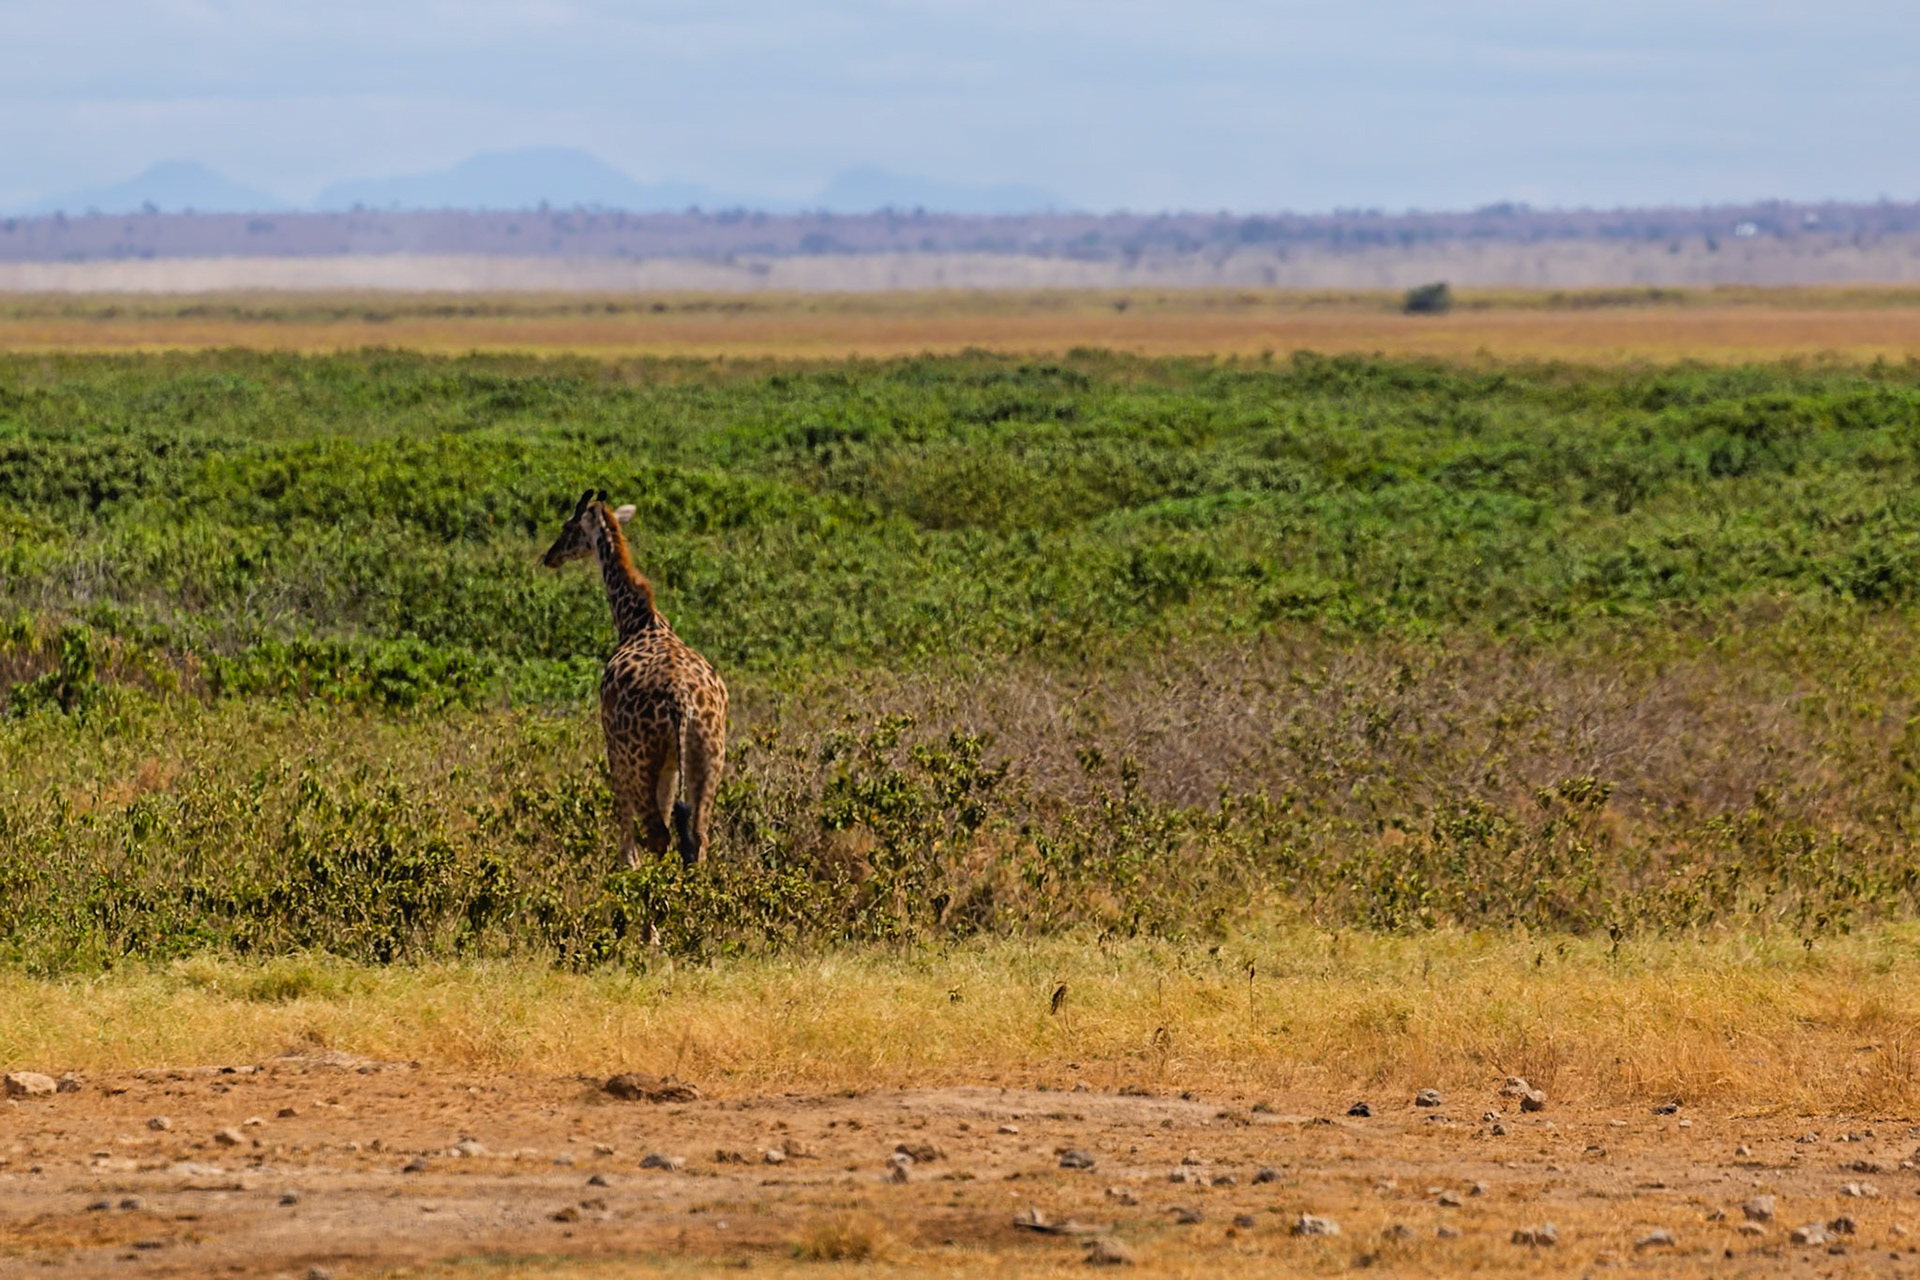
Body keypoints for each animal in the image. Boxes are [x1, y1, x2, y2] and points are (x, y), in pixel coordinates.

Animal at [543, 489, 728, 868]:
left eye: (568, 527)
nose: (549, 556)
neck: (636, 620)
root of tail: (680, 702)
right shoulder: (672, 762)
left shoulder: (613, 743)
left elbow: (623, 809)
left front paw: (625, 864)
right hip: (709, 756)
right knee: (697, 836)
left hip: (640, 755)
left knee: (659, 833)